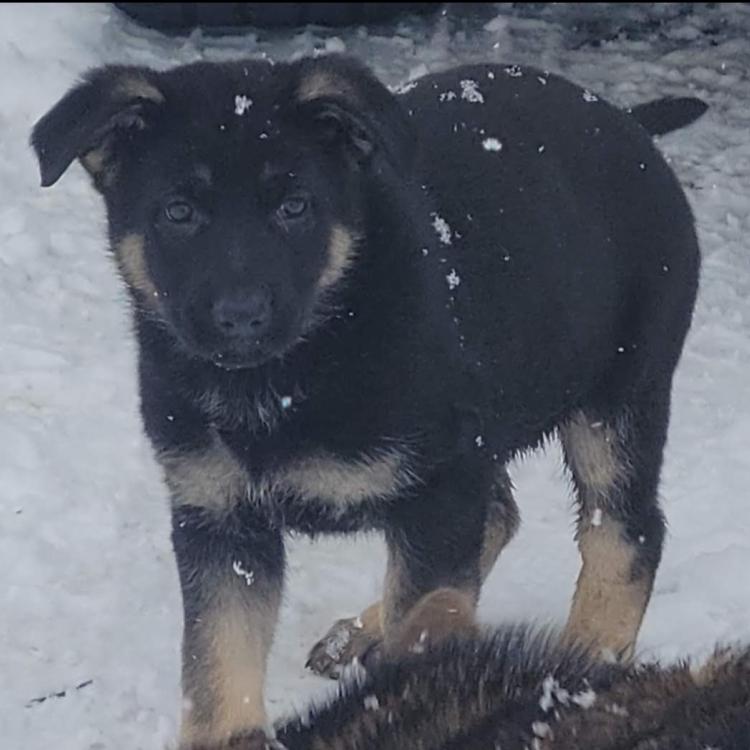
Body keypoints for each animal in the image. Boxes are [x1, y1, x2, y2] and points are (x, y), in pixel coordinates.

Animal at [32, 55, 708, 748]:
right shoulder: (219, 514)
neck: (289, 376)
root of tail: (626, 121)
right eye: (178, 212)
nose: (241, 317)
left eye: (295, 207)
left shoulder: (438, 490)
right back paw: (365, 630)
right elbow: (217, 669)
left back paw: (583, 666)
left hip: (618, 400)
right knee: (500, 514)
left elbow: (423, 645)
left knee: (623, 532)